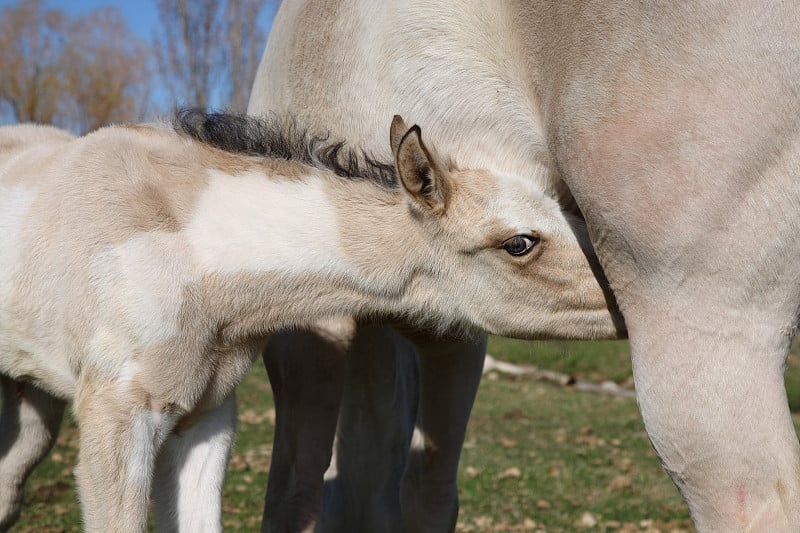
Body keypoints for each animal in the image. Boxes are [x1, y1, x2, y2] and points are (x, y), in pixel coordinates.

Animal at [0, 110, 620, 528]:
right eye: (520, 243)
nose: (624, 302)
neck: (192, 251)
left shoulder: (206, 417)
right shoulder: (118, 415)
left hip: (34, 401)